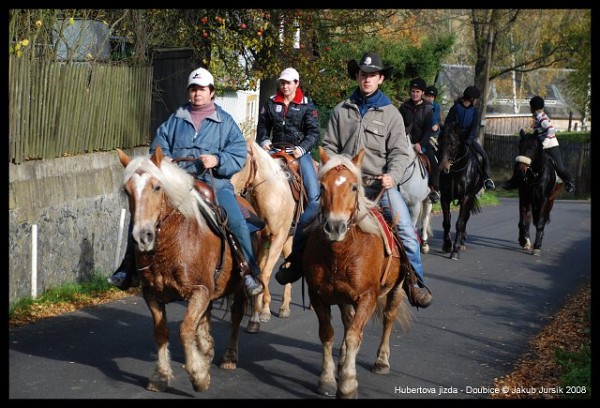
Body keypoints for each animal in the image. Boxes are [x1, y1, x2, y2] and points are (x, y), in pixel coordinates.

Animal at [117, 146, 251, 392]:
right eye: (127, 190)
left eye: (157, 186)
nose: (143, 237)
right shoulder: (152, 293)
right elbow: (161, 332)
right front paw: (160, 376)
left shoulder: (199, 290)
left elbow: (186, 330)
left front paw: (198, 376)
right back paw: (206, 349)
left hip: (239, 285)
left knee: (236, 314)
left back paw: (228, 357)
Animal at [231, 139, 296, 334]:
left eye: (242, 161)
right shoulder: (260, 241)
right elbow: (258, 270)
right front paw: (255, 310)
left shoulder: (277, 238)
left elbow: (266, 273)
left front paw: (263, 312)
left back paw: (285, 307)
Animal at [304, 147, 412, 398]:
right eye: (322, 186)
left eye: (354, 187)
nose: (335, 227)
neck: (341, 253)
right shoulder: (318, 296)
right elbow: (328, 333)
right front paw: (327, 379)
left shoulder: (367, 297)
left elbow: (354, 335)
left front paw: (348, 384)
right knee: (347, 320)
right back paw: (343, 360)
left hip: (397, 289)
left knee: (388, 318)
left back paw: (381, 361)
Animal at [438, 122, 486, 260]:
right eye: (440, 141)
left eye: (453, 144)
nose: (443, 169)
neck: (456, 171)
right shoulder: (445, 197)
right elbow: (446, 222)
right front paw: (447, 245)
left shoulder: (466, 198)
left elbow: (459, 223)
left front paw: (455, 250)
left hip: (470, 199)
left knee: (465, 219)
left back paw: (462, 243)